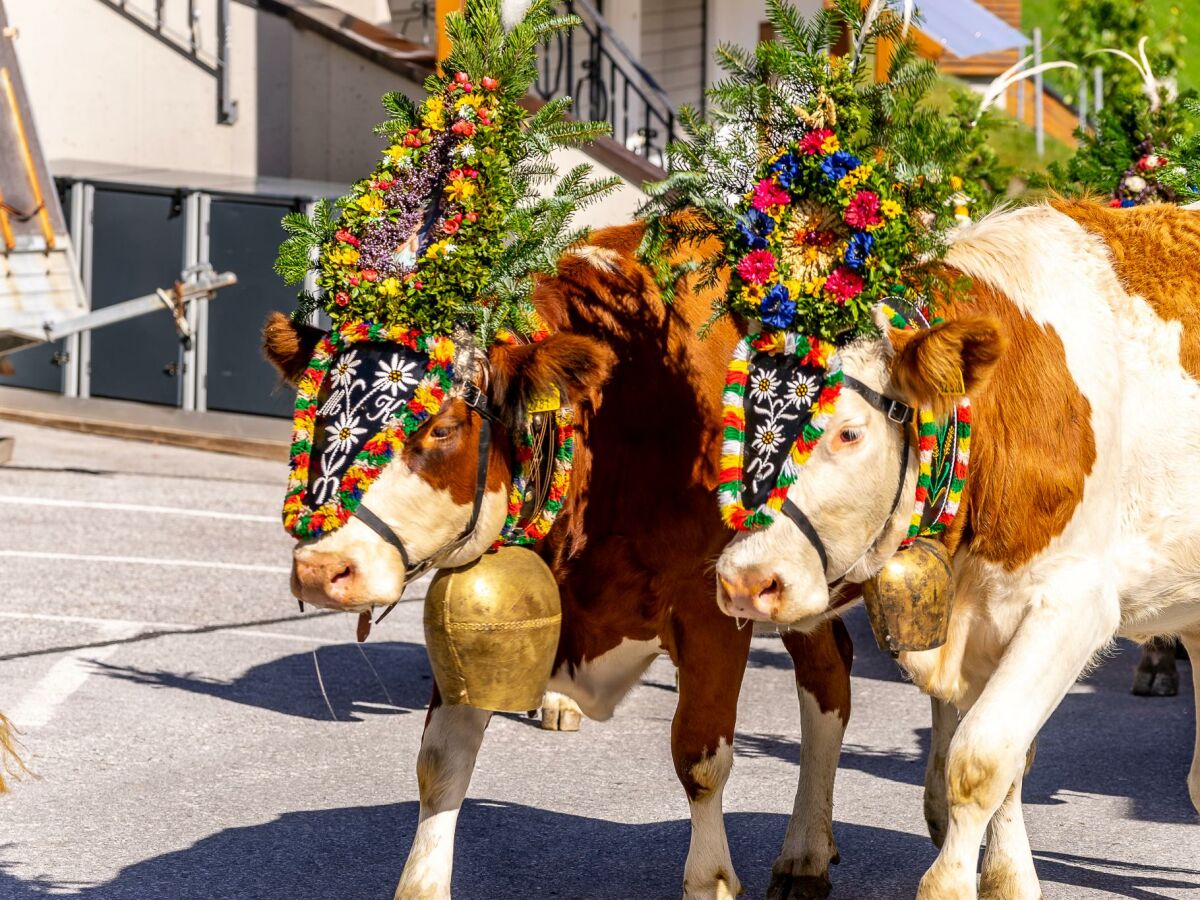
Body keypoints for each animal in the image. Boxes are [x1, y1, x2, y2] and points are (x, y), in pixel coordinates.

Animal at [710, 200, 1200, 897]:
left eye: (849, 433)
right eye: (742, 419)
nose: (746, 581)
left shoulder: (1074, 603)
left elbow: (979, 759)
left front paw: (951, 883)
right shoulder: (981, 621)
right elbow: (1008, 761)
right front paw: (1010, 880)